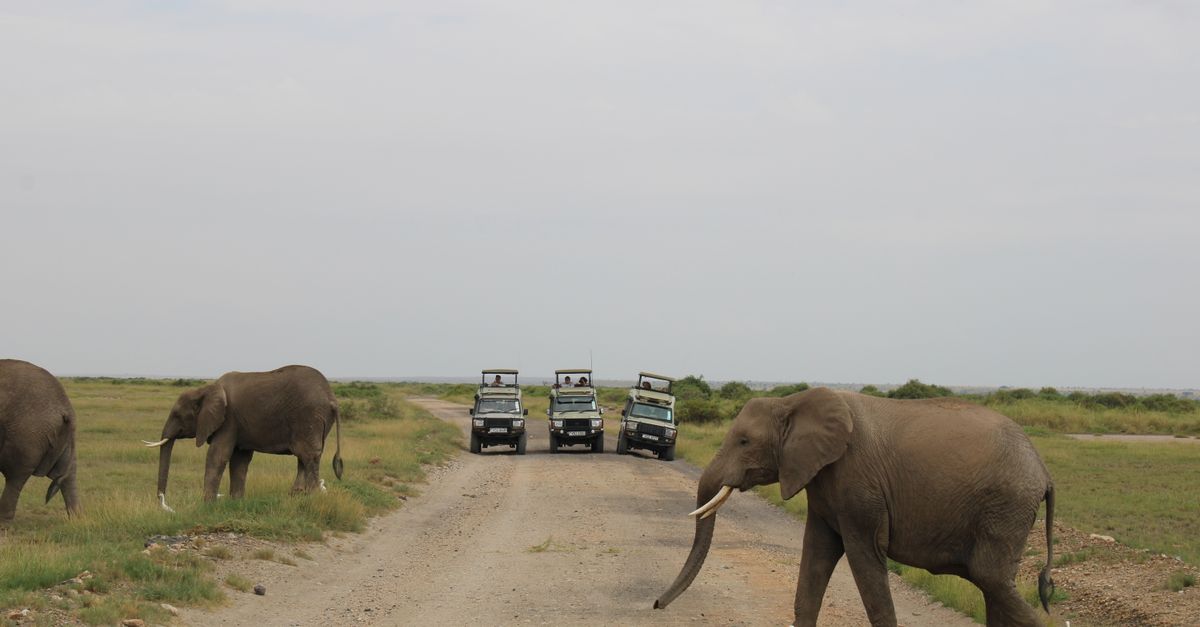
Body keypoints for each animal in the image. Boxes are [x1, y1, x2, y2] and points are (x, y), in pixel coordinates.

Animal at [0, 359, 82, 522]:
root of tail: (66, 409)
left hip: (27, 433)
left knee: (15, 475)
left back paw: (3, 523)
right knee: (69, 475)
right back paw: (77, 519)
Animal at [142, 365, 343, 512]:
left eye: (178, 415)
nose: (164, 503)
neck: (207, 389)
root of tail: (332, 399)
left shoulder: (228, 419)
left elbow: (218, 455)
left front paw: (207, 506)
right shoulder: (239, 423)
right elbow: (239, 460)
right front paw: (236, 503)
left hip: (308, 417)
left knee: (308, 456)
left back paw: (312, 499)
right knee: (304, 457)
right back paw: (297, 497)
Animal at [655, 388, 1055, 627]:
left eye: (743, 441)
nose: (656, 605)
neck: (793, 400)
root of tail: (1044, 471)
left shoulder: (860, 487)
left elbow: (865, 561)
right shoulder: (821, 481)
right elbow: (815, 558)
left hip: (1005, 508)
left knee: (991, 579)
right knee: (993, 587)